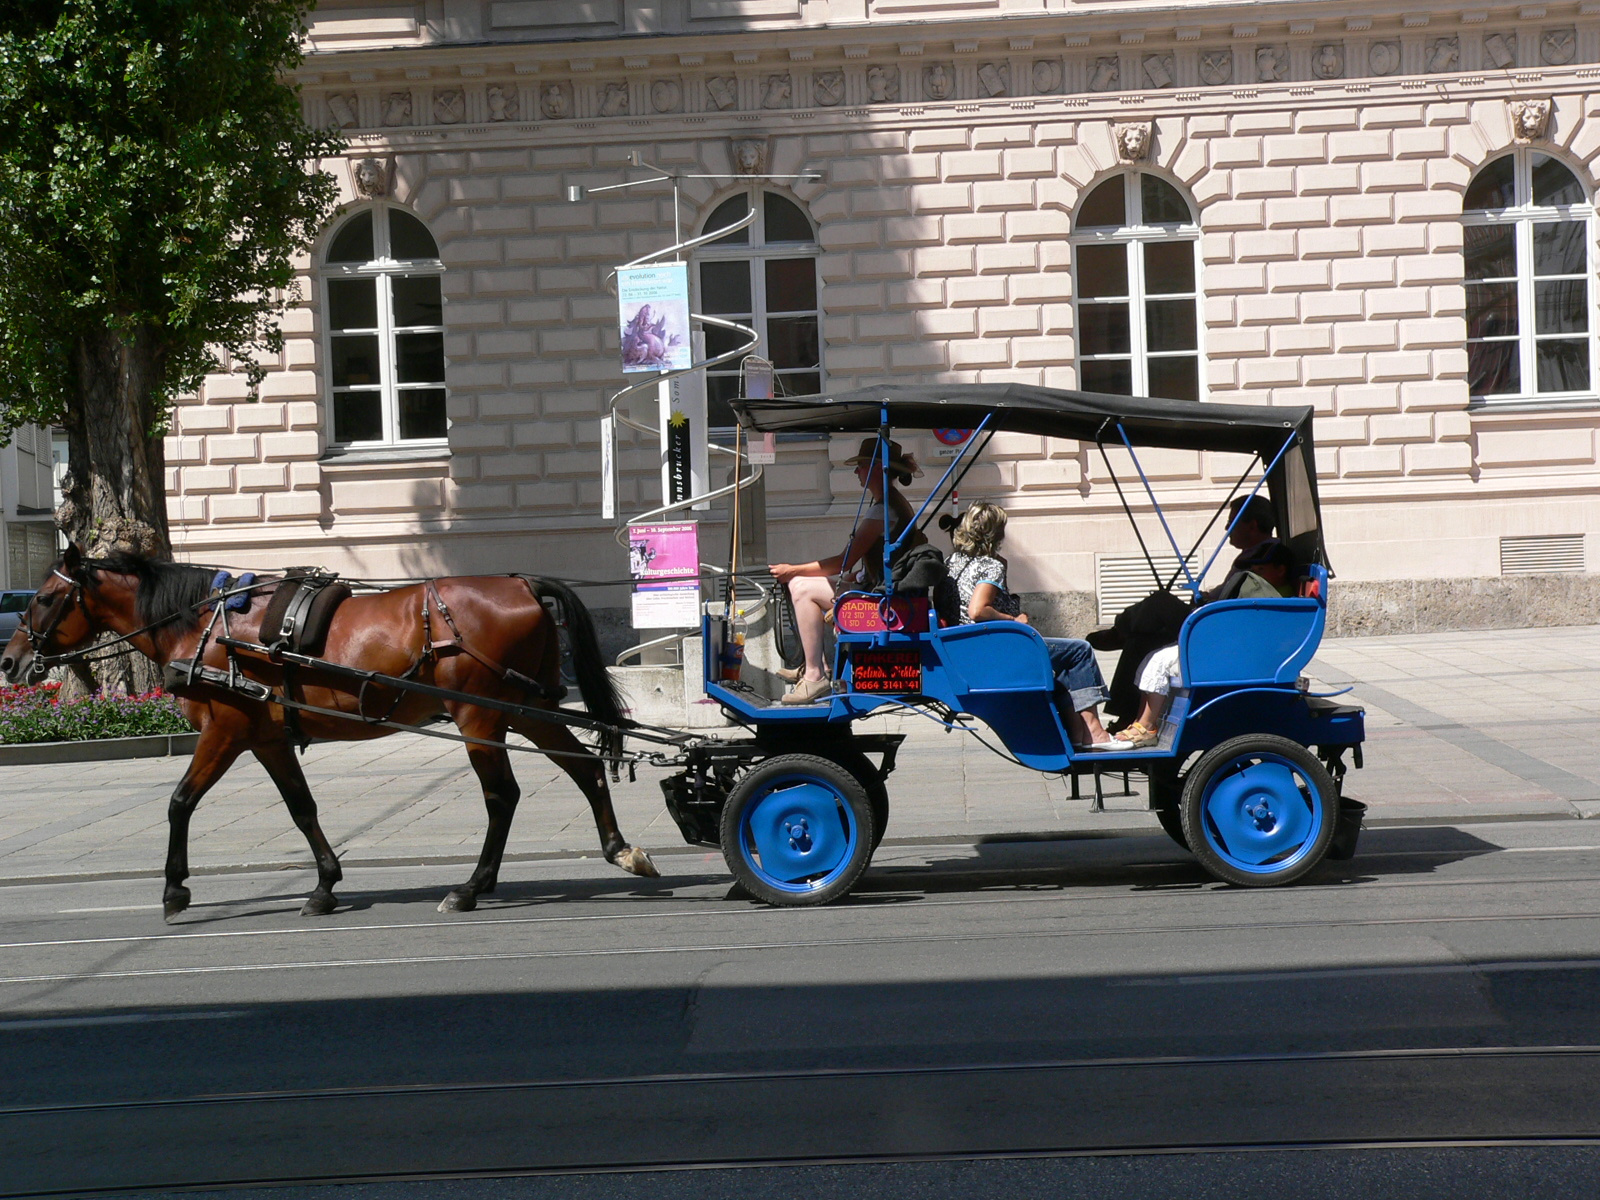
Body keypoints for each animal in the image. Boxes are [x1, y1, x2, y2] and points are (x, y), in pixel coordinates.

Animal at [1, 550, 656, 928]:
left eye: (44, 598)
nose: (9, 661)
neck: (207, 628)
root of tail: (522, 584)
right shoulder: (265, 737)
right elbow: (301, 807)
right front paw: (323, 885)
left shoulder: (226, 729)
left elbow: (180, 802)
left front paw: (174, 889)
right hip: (529, 708)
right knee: (583, 768)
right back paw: (620, 848)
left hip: (481, 717)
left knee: (503, 798)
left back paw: (471, 888)